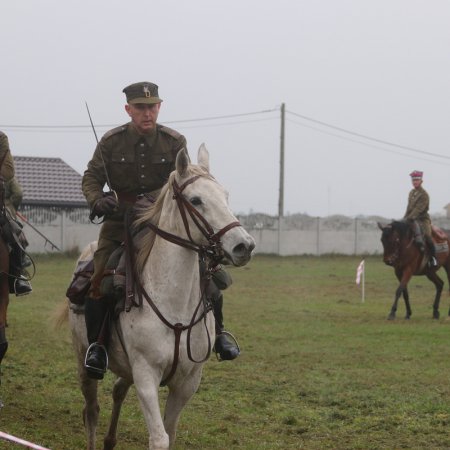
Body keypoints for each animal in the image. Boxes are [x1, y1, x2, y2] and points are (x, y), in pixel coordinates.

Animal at [67, 145, 256, 450]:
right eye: (196, 200)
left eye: (225, 195)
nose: (244, 245)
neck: (173, 304)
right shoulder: (146, 375)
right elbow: (159, 438)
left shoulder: (187, 383)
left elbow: (171, 432)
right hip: (84, 364)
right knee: (91, 411)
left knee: (118, 391)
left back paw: (110, 439)